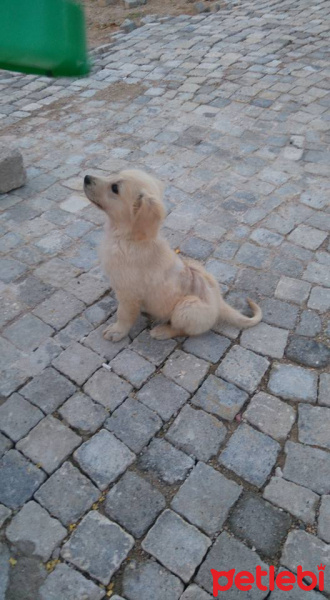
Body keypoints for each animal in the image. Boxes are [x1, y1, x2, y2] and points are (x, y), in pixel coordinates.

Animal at [84, 169, 262, 342]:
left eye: (115, 188)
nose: (86, 178)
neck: (128, 238)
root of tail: (218, 301)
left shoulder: (128, 293)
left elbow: (124, 314)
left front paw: (117, 331)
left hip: (186, 307)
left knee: (185, 330)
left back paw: (163, 331)